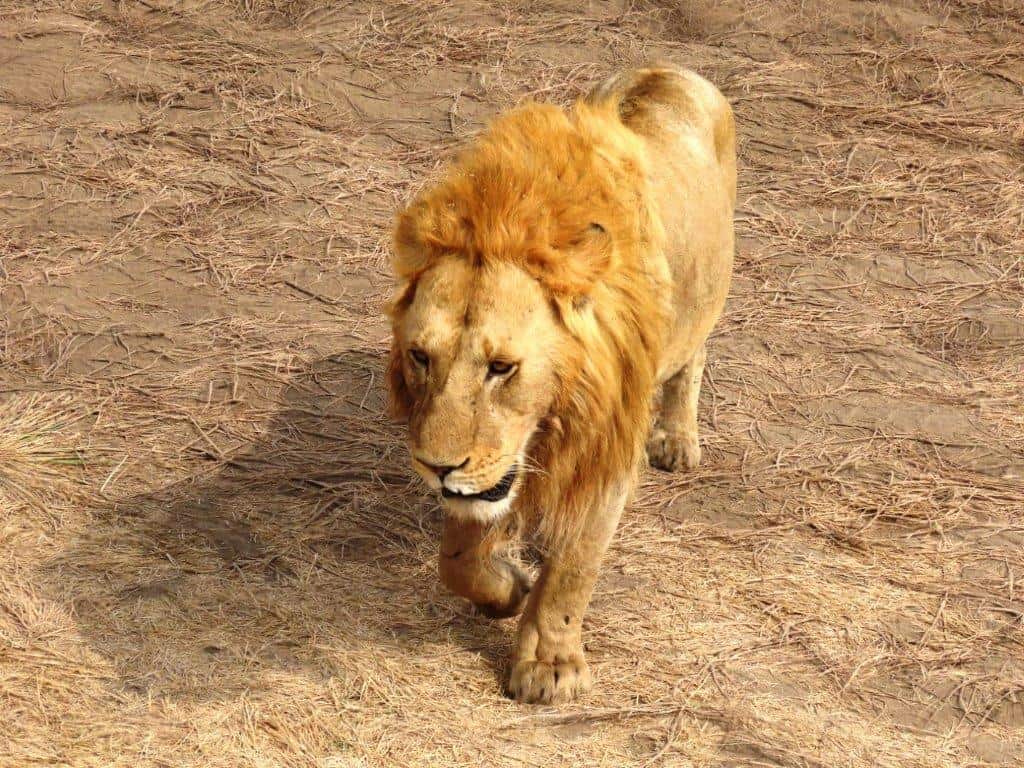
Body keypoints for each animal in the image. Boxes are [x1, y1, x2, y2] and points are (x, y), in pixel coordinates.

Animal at [387, 65, 735, 704]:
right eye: (421, 356)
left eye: (502, 367)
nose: (436, 467)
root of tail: (669, 70)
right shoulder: (491, 466)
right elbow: (457, 558)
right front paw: (507, 589)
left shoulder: (607, 446)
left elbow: (574, 569)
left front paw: (550, 665)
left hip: (706, 298)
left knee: (692, 356)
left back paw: (677, 438)